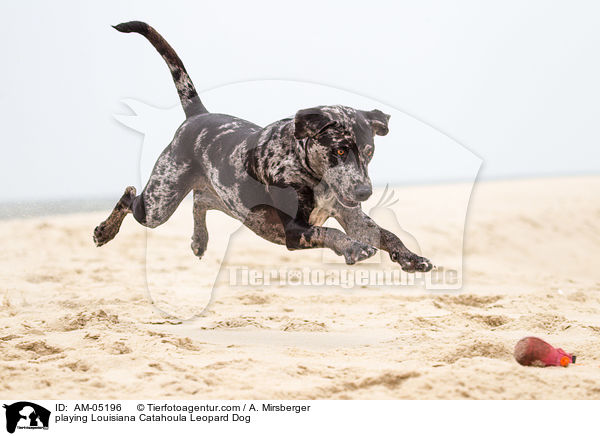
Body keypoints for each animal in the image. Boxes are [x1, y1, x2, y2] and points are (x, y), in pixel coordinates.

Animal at [92, 21, 432, 272]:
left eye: (369, 152)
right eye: (339, 150)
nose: (364, 192)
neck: (306, 170)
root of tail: (197, 115)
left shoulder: (354, 218)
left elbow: (387, 234)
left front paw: (411, 257)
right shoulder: (295, 230)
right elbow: (332, 232)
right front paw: (354, 248)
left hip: (236, 205)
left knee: (201, 199)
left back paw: (200, 240)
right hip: (159, 203)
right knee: (130, 197)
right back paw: (104, 231)